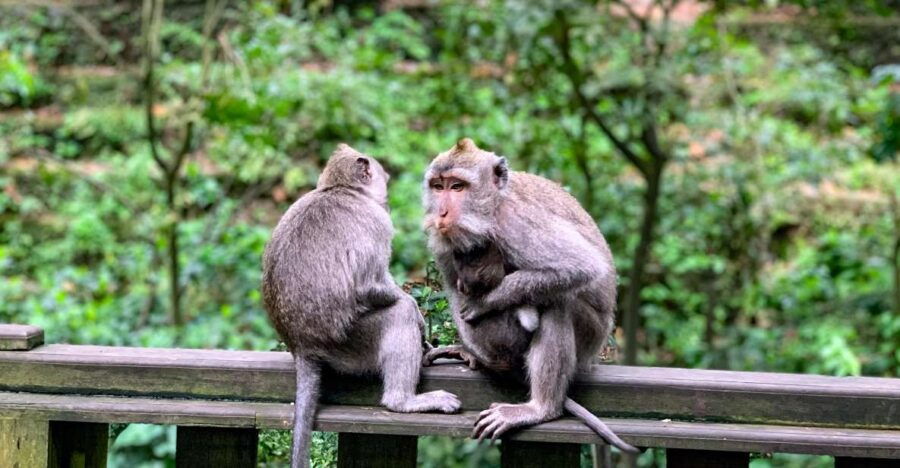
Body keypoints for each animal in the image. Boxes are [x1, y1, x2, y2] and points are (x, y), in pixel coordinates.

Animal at [262, 144, 461, 468]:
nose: (387, 191)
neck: (339, 189)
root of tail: (301, 346)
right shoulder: (376, 222)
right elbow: (368, 285)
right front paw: (413, 308)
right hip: (350, 346)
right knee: (397, 315)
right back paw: (403, 401)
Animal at [420, 138, 638, 453]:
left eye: (458, 187)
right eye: (438, 187)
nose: (441, 214)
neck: (493, 204)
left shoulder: (515, 223)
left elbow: (581, 266)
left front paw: (485, 302)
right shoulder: (444, 243)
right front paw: (469, 348)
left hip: (590, 336)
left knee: (558, 302)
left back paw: (542, 407)